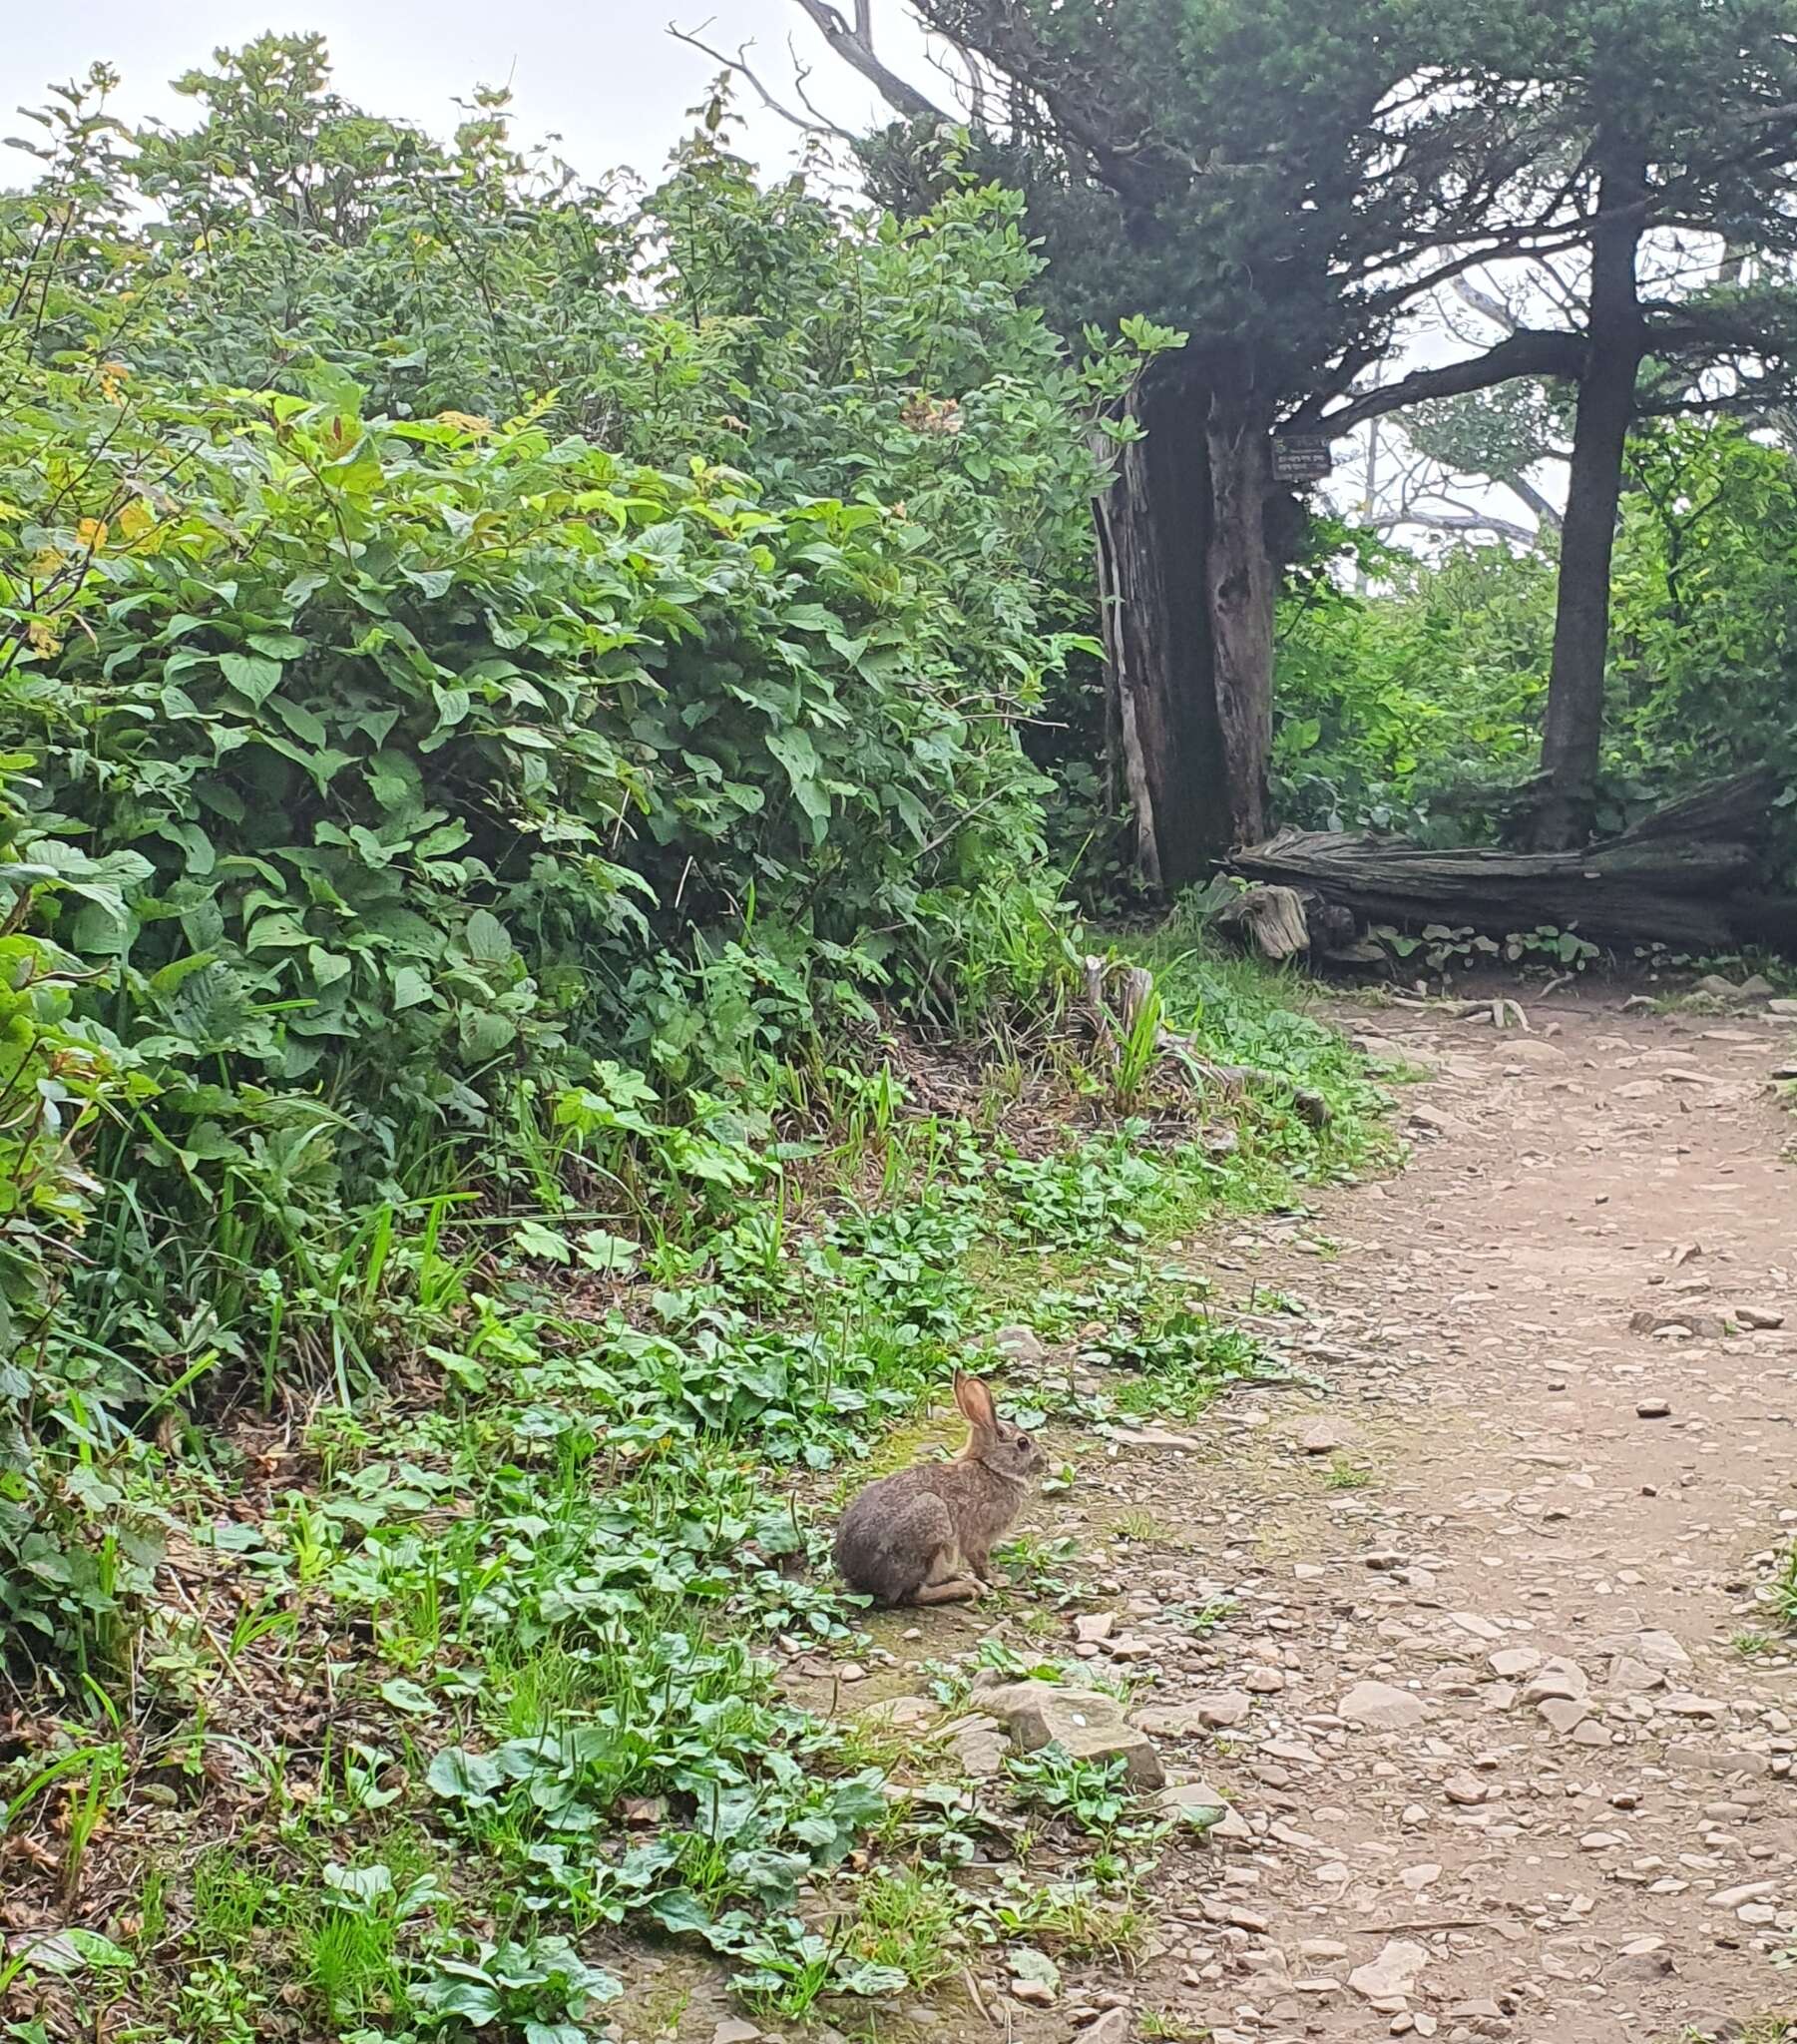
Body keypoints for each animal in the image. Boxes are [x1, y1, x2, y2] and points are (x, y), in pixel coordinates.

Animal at [829, 1381, 1038, 1602]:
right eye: (1023, 1443)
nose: (1045, 1461)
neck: (992, 1467)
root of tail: (859, 1577)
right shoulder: (979, 1535)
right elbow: (981, 1560)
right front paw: (997, 1579)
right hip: (931, 1524)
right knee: (914, 1594)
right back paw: (967, 1587)